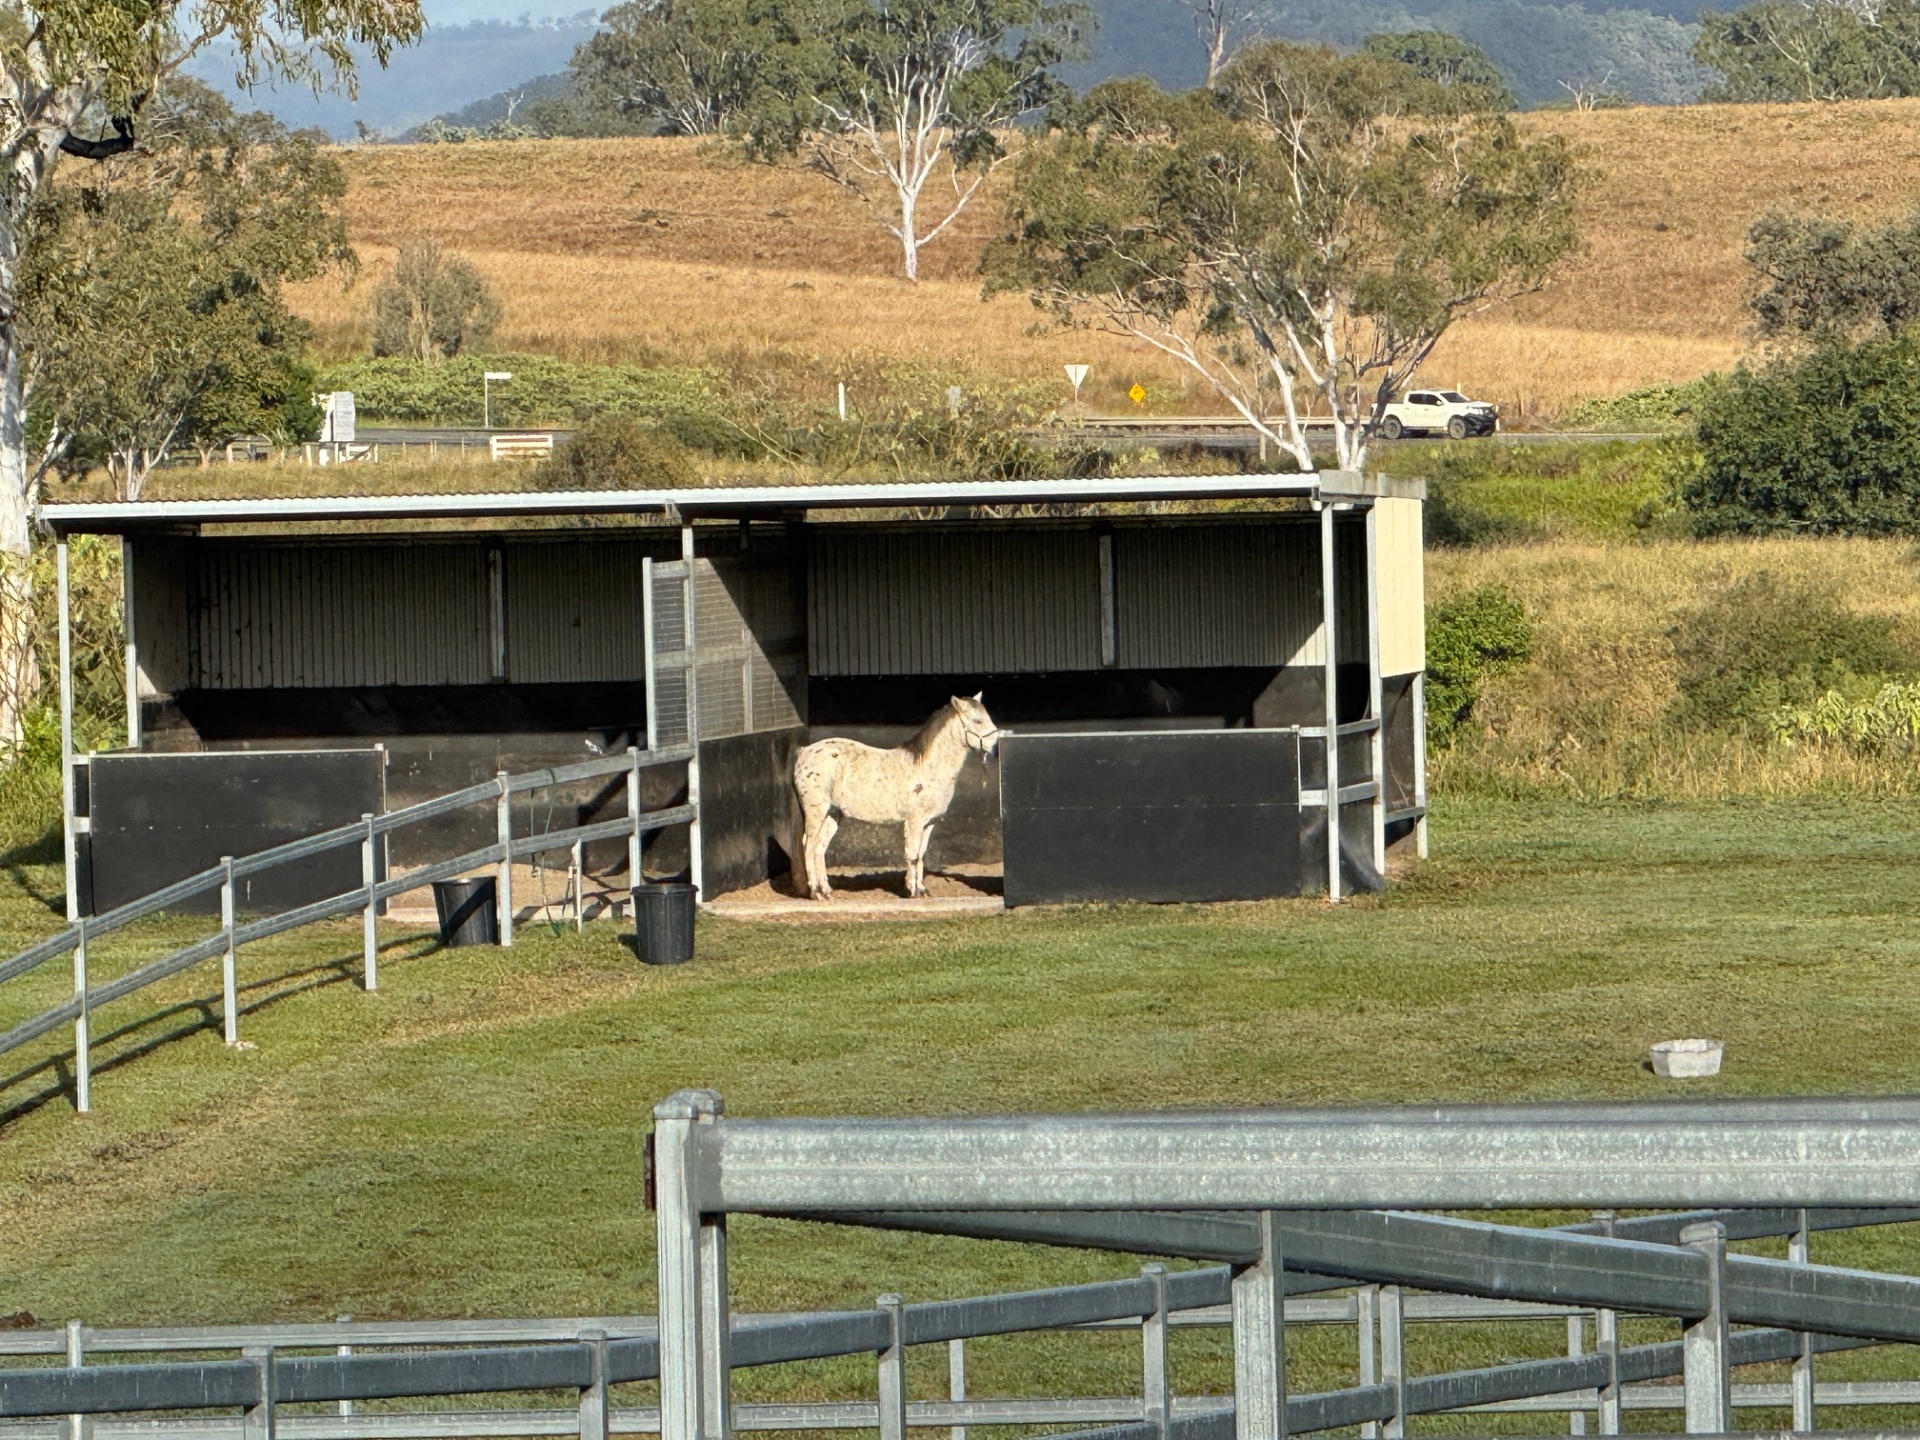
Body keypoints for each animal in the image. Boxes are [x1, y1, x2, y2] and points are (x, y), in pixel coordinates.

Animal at [794, 695, 1001, 900]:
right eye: (977, 720)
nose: (996, 749)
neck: (927, 767)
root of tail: (804, 752)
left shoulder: (929, 823)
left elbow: (921, 854)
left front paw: (922, 890)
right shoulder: (914, 820)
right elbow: (913, 855)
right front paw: (913, 891)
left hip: (833, 814)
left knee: (819, 848)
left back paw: (827, 892)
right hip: (815, 811)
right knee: (809, 845)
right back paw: (816, 892)